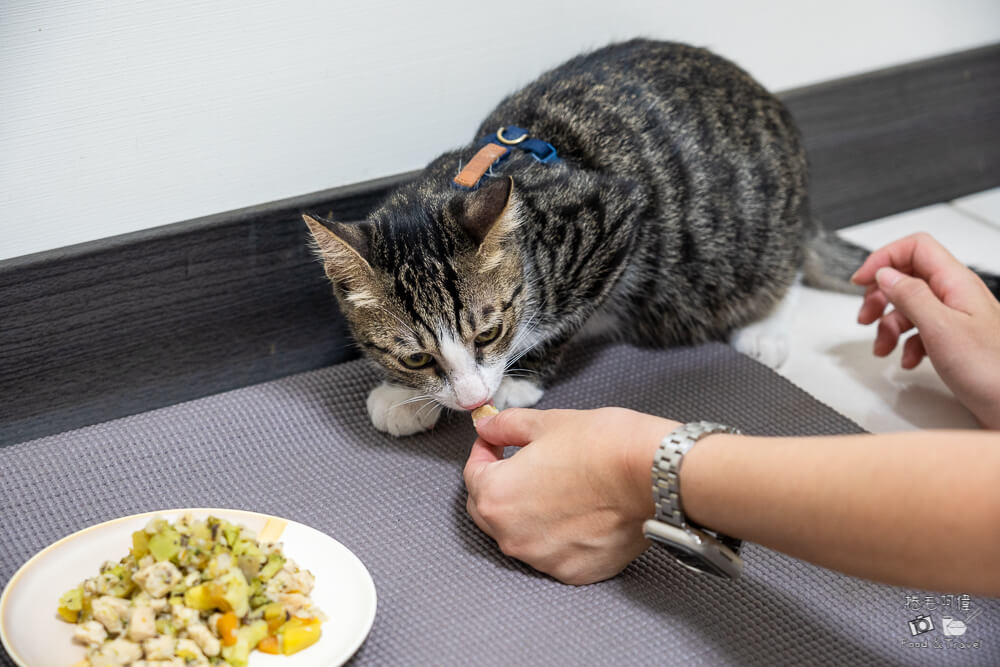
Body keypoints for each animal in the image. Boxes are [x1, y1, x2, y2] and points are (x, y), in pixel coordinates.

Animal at [306, 41, 876, 438]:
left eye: (489, 334)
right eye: (417, 360)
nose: (471, 400)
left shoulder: (616, 221)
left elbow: (563, 321)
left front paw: (520, 378)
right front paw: (402, 397)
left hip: (753, 238)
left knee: (786, 268)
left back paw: (764, 326)